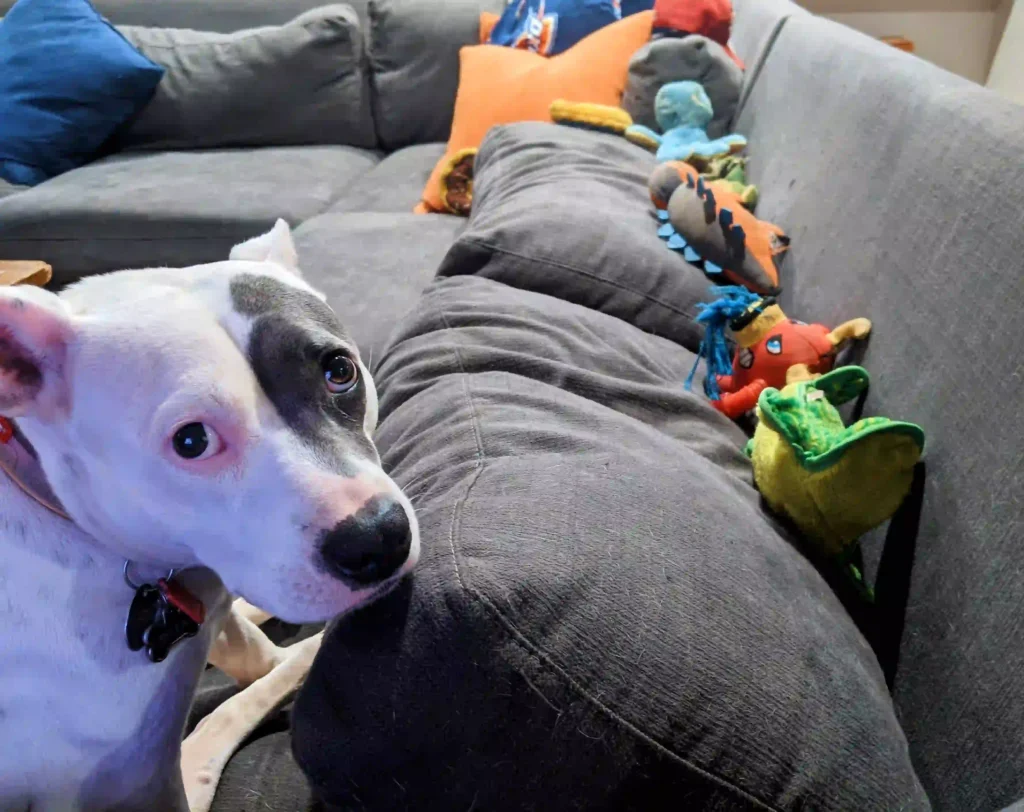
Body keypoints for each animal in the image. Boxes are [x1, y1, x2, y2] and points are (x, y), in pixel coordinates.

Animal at [0, 222, 419, 810]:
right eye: (191, 441)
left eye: (340, 371)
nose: (378, 538)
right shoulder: (145, 778)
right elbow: (241, 700)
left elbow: (255, 654)